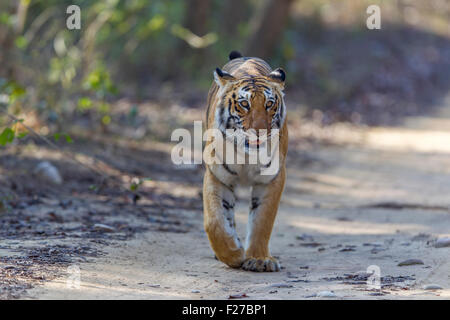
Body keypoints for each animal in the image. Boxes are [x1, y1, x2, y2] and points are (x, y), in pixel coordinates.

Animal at [201, 51, 286, 272]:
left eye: (269, 104)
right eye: (244, 104)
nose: (260, 131)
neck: (246, 154)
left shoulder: (271, 179)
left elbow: (262, 221)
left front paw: (259, 259)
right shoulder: (217, 175)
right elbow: (215, 222)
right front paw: (233, 254)